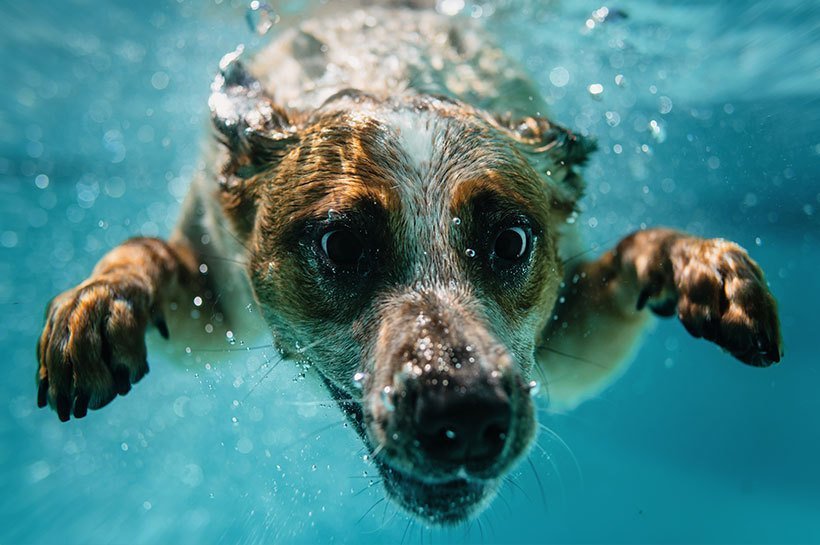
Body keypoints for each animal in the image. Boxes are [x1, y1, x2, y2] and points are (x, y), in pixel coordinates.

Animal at [36, 2, 780, 524]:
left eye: (511, 242)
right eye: (340, 245)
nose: (466, 412)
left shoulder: (567, 341)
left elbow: (631, 259)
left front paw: (697, 264)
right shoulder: (211, 306)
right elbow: (148, 253)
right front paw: (98, 303)